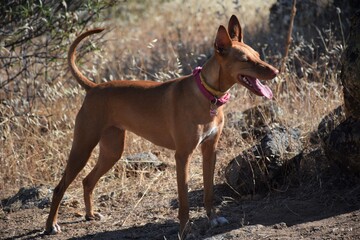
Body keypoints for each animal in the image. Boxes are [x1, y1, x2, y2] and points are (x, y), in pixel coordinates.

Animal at [45, 15, 278, 238]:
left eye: (258, 55)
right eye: (245, 60)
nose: (275, 71)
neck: (207, 94)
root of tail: (93, 87)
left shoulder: (210, 150)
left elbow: (209, 191)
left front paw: (212, 219)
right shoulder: (183, 156)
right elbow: (184, 202)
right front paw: (185, 231)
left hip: (112, 151)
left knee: (87, 181)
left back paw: (90, 214)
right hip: (82, 147)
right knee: (59, 187)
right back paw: (51, 225)